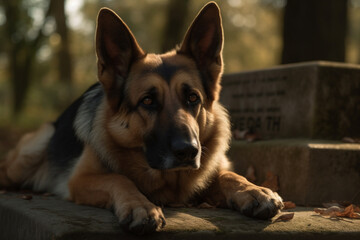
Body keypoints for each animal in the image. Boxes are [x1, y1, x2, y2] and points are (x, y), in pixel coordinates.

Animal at [1, 1, 284, 234]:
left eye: (193, 98)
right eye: (147, 101)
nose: (188, 151)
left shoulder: (213, 169)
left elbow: (229, 175)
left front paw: (253, 190)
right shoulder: (81, 180)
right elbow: (119, 178)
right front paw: (140, 206)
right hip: (31, 152)